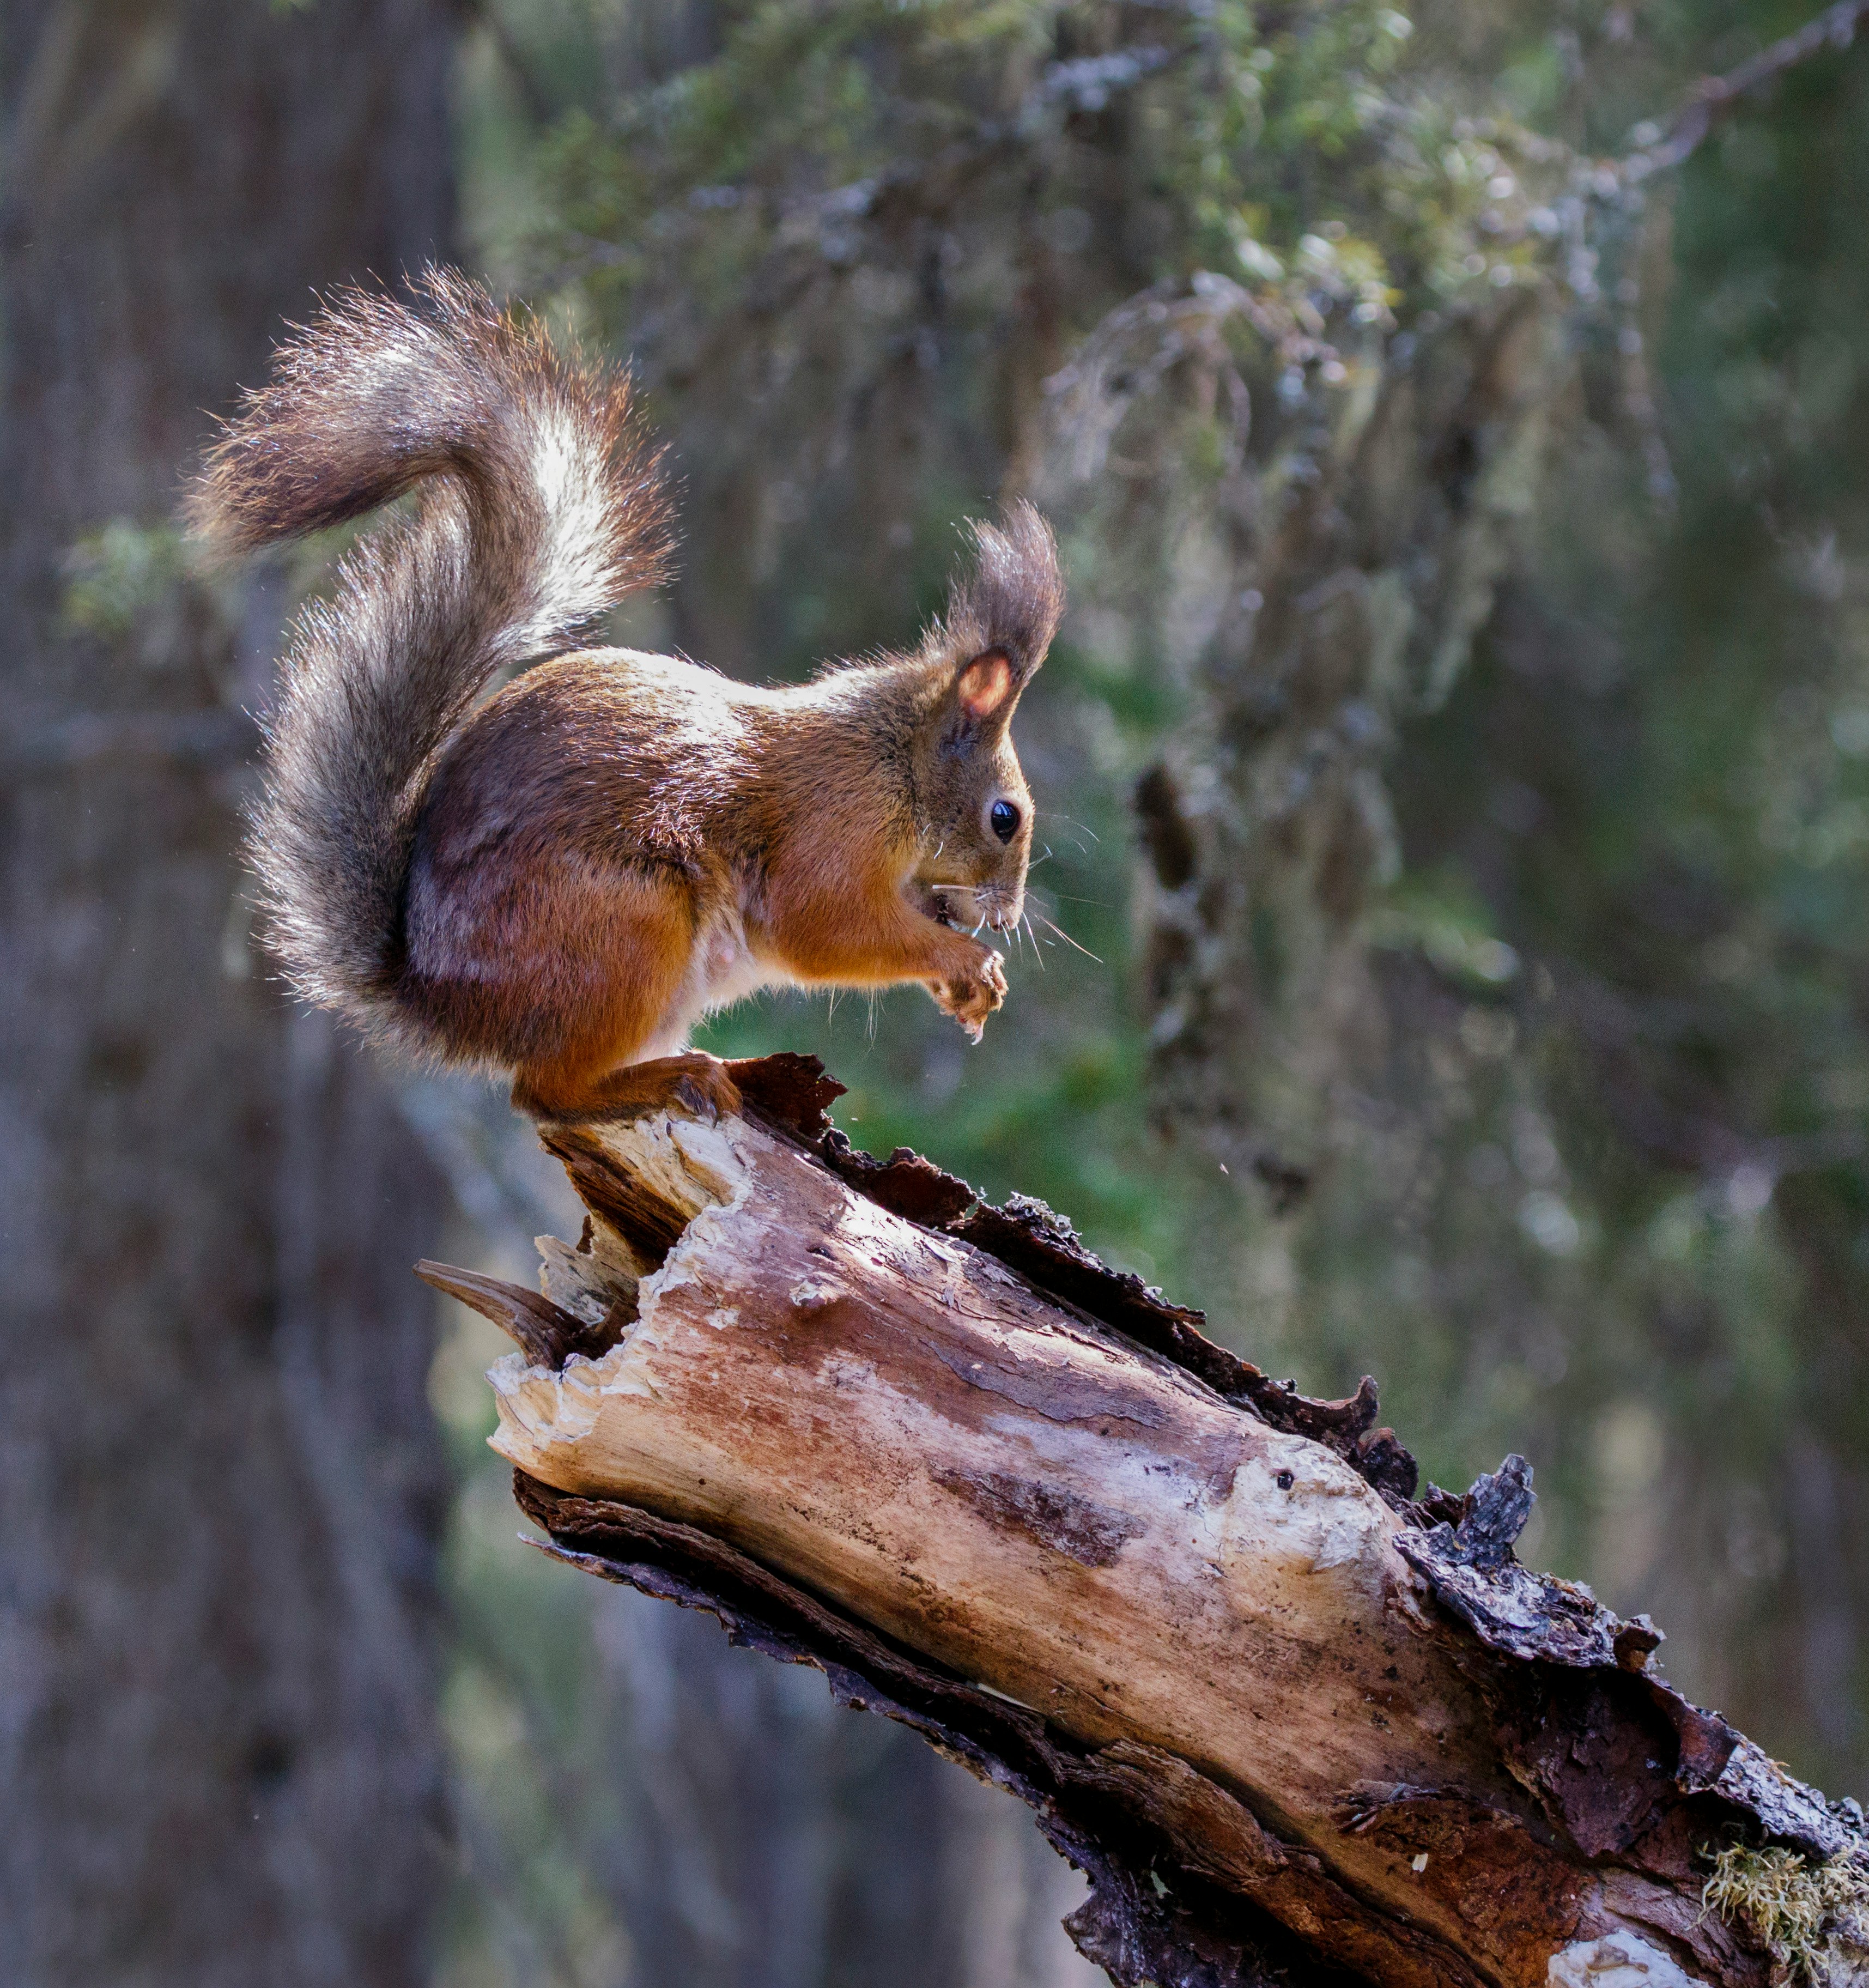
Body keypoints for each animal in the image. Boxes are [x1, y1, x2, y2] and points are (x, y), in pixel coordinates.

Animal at [193, 268, 1065, 1121]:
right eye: (1005, 817)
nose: (1007, 917)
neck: (891, 757)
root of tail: (443, 1000)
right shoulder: (831, 825)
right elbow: (822, 926)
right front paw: (966, 961)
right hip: (627, 928)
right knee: (544, 1094)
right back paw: (670, 1076)